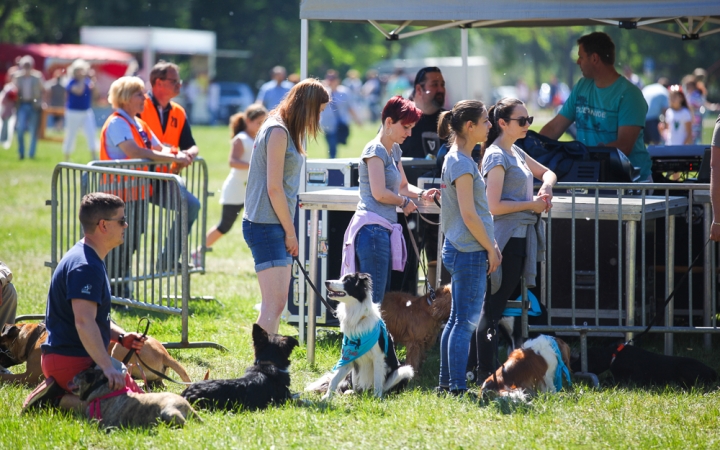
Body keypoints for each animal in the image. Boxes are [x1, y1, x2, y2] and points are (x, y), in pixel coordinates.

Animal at [306, 272, 416, 400]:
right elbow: (334, 379)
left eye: (347, 280)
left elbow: (378, 380)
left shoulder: (378, 357)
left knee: (386, 387)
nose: (326, 282)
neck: (356, 317)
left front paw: (377, 398)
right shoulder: (348, 357)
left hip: (404, 370)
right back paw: (351, 392)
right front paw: (327, 398)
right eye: (340, 278)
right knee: (353, 387)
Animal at [572, 342, 716, 384]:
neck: (613, 355)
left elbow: (612, 379)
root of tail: (711, 370)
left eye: (583, 358)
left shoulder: (634, 377)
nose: (572, 367)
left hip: (685, 367)